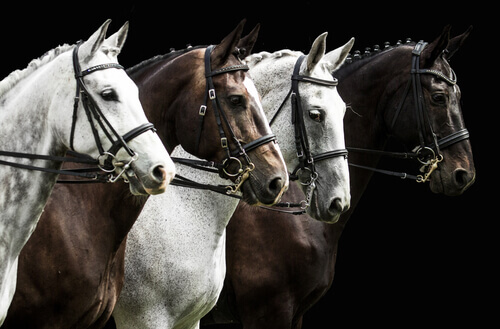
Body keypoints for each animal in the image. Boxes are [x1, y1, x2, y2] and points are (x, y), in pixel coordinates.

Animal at [113, 31, 354, 328]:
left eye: (343, 111)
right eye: (316, 114)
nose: (339, 200)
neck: (183, 208)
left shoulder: (190, 319)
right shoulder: (144, 319)